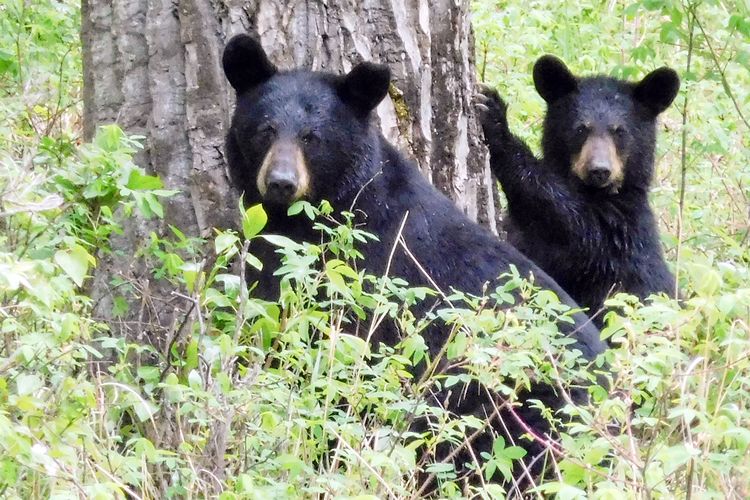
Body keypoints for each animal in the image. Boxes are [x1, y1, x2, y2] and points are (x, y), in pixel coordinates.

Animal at [478, 56, 684, 326]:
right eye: (580, 129)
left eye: (620, 131)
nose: (599, 170)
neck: (597, 194)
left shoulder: (615, 231)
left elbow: (564, 216)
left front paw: (496, 120)